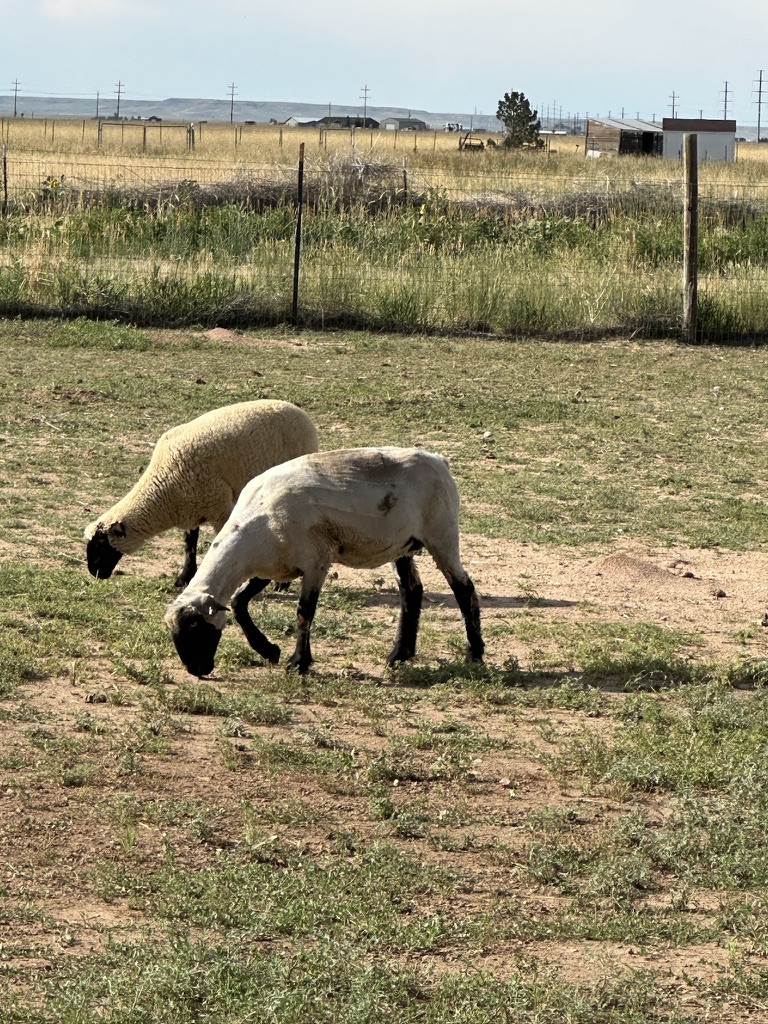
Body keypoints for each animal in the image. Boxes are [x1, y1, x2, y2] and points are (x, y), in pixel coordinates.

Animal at [85, 400, 319, 586]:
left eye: (101, 545)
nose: (95, 574)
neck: (162, 488)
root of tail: (303, 415)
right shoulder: (191, 507)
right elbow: (190, 543)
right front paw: (184, 577)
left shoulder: (219, 507)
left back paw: (283, 584)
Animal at [164, 446, 484, 677]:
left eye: (195, 628)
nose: (197, 670)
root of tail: (439, 460)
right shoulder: (273, 566)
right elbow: (240, 603)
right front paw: (269, 651)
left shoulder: (316, 562)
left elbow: (304, 613)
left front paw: (298, 663)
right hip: (403, 544)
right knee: (411, 591)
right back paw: (399, 654)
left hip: (441, 533)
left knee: (463, 588)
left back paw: (475, 655)